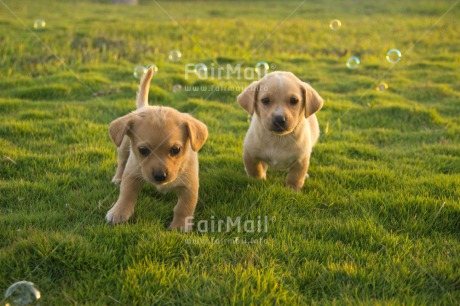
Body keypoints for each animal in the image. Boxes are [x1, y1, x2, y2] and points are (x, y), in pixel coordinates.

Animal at [105, 67, 208, 230]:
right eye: (143, 150)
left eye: (176, 150)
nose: (160, 176)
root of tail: (144, 106)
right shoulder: (132, 174)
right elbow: (126, 194)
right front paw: (118, 212)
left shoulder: (190, 186)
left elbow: (183, 207)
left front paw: (179, 226)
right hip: (123, 147)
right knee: (121, 164)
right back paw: (117, 178)